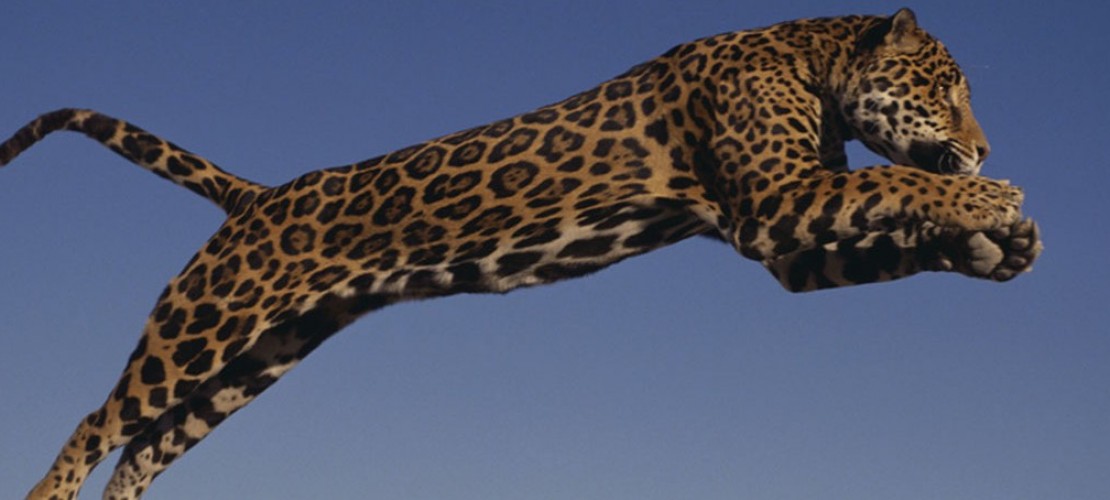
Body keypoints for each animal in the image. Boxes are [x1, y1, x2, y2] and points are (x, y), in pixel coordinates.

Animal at [0, 8, 1040, 499]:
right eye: (945, 89)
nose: (985, 145)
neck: (813, 62)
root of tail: (257, 196)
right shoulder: (777, 205)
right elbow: (901, 184)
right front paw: (993, 201)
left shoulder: (790, 242)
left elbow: (892, 231)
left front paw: (996, 246)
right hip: (206, 324)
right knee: (101, 418)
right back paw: (50, 491)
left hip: (260, 356)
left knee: (146, 446)